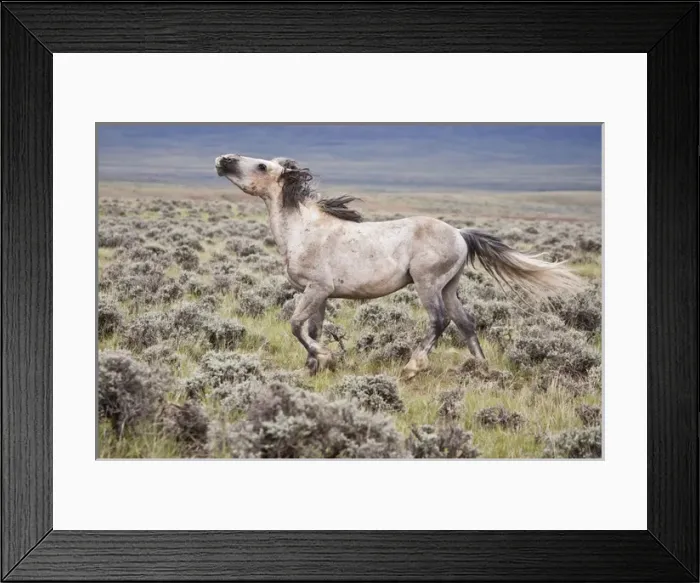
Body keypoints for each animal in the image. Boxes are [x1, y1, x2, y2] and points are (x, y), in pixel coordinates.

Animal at [215, 153, 584, 379]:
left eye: (262, 166)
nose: (223, 159)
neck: (303, 229)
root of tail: (461, 235)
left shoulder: (316, 289)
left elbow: (295, 326)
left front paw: (326, 358)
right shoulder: (316, 294)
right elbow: (312, 329)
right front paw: (313, 368)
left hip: (427, 283)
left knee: (440, 321)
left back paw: (412, 367)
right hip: (449, 287)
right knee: (465, 323)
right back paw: (482, 370)